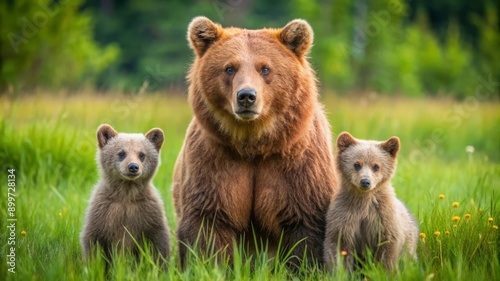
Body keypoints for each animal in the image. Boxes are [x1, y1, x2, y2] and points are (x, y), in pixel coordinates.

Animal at [80, 124, 170, 266]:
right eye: (121, 153)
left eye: (142, 154)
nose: (133, 167)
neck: (126, 194)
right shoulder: (102, 212)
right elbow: (93, 242)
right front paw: (95, 265)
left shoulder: (149, 214)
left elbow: (159, 244)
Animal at [173, 16, 340, 268]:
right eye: (229, 68)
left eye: (265, 68)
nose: (246, 96)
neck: (253, 142)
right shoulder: (214, 160)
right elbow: (208, 222)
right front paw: (210, 266)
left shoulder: (298, 166)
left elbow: (305, 224)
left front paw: (304, 266)